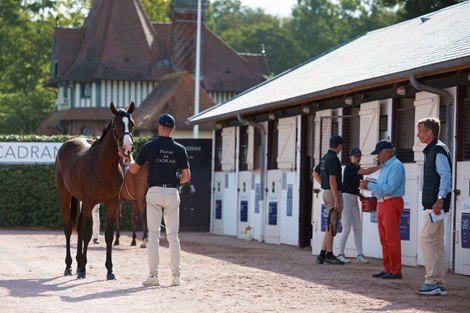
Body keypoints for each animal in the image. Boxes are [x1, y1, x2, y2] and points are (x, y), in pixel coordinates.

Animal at [56, 102, 136, 278]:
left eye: (132, 124)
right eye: (117, 124)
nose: (128, 148)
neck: (104, 167)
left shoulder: (112, 203)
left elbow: (108, 235)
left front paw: (110, 270)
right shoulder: (89, 202)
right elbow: (86, 233)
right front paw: (82, 269)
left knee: (79, 226)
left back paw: (78, 262)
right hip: (65, 195)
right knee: (68, 228)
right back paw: (69, 266)